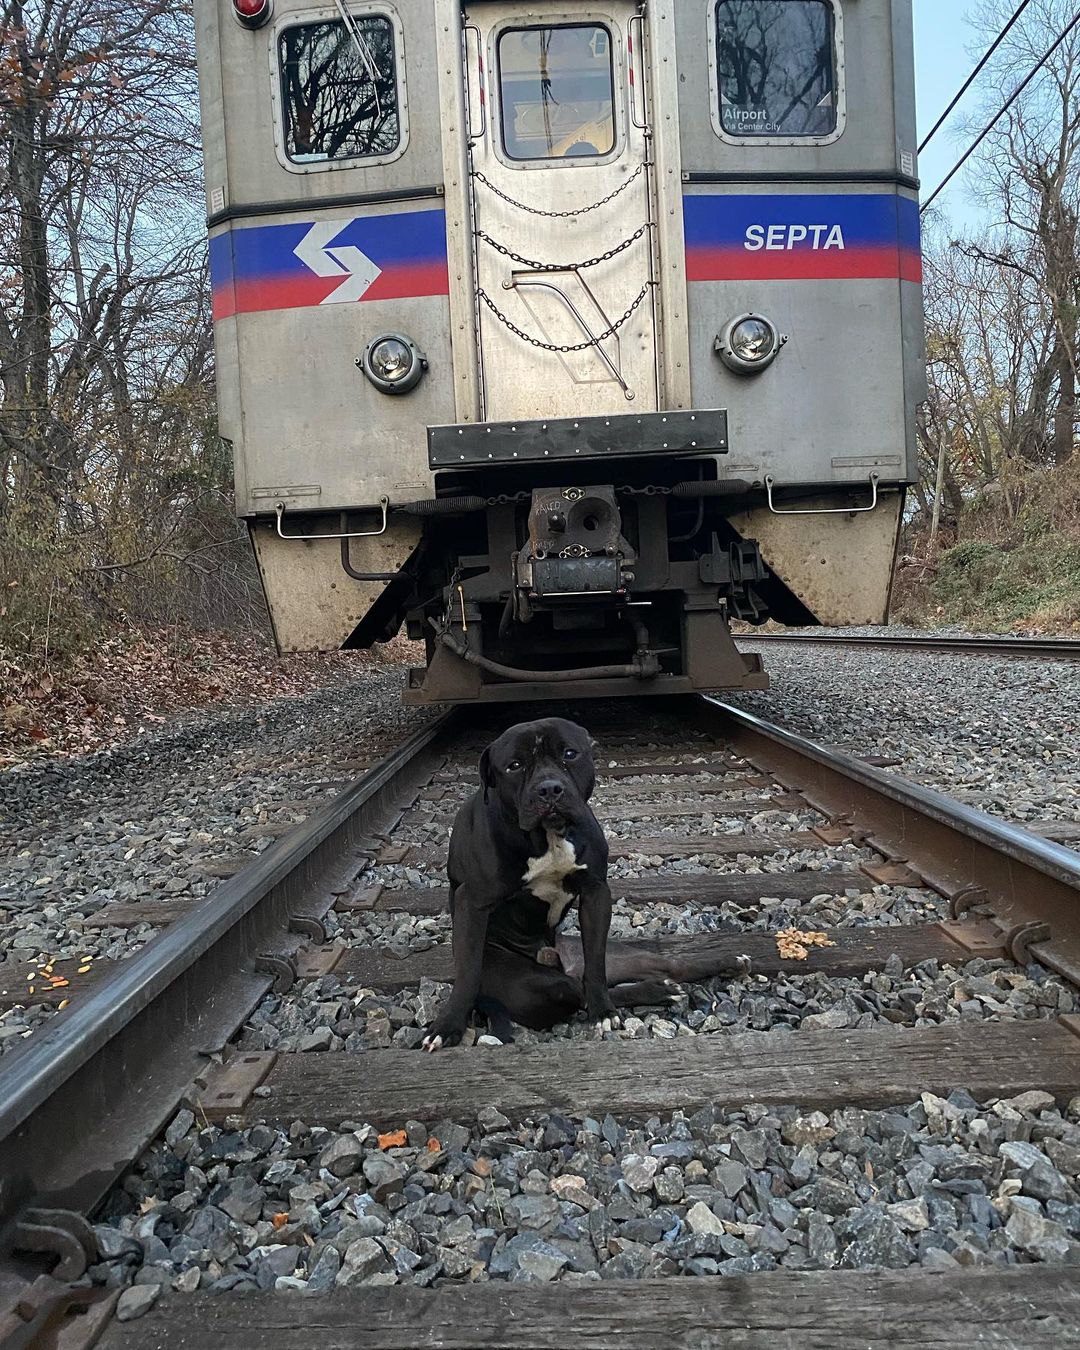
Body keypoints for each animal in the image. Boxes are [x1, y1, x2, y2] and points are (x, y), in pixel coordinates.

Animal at [421, 712, 675, 1047]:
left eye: (569, 753)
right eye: (514, 765)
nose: (549, 789)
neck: (549, 837)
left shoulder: (595, 893)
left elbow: (596, 963)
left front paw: (603, 1011)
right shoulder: (472, 902)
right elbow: (468, 972)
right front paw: (448, 1025)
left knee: (580, 983)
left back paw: (657, 990)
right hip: (536, 988)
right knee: (570, 989)